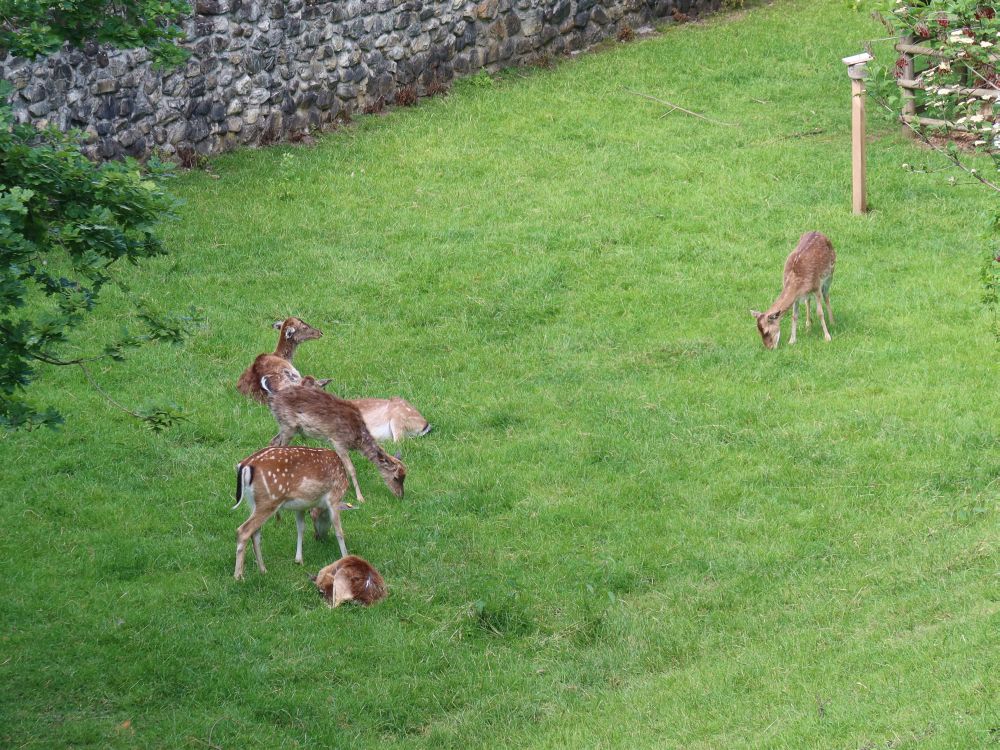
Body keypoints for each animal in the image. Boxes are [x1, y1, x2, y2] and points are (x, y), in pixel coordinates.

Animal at [234, 446, 356, 580]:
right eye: (323, 518)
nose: (319, 536)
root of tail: (244, 465)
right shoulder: (334, 498)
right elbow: (339, 531)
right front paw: (346, 559)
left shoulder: (300, 506)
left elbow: (300, 528)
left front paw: (298, 560)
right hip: (269, 500)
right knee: (243, 530)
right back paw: (238, 576)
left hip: (253, 502)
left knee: (255, 533)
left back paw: (263, 570)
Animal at [266, 378, 410, 508]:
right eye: (396, 477)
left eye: (405, 477)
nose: (401, 496)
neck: (358, 439)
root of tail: (273, 399)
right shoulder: (337, 441)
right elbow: (351, 469)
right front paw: (360, 498)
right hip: (288, 425)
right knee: (279, 445)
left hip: (289, 427)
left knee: (273, 441)